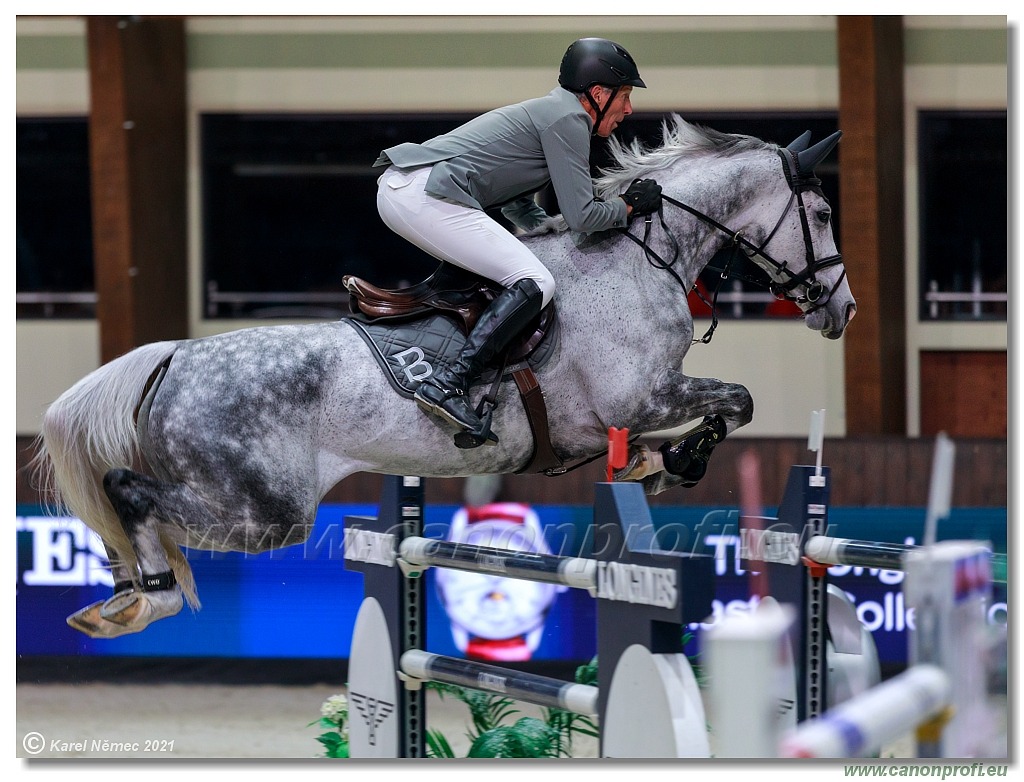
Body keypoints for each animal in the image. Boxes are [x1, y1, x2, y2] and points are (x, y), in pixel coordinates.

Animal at [32, 117, 856, 642]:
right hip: (263, 511)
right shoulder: (640, 395)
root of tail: (173, 354)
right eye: (820, 211)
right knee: (131, 492)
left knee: (126, 505)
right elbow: (736, 401)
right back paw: (149, 599)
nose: (842, 308)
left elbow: (705, 417)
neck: (638, 257)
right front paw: (678, 460)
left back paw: (121, 598)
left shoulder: (630, 409)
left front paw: (653, 464)